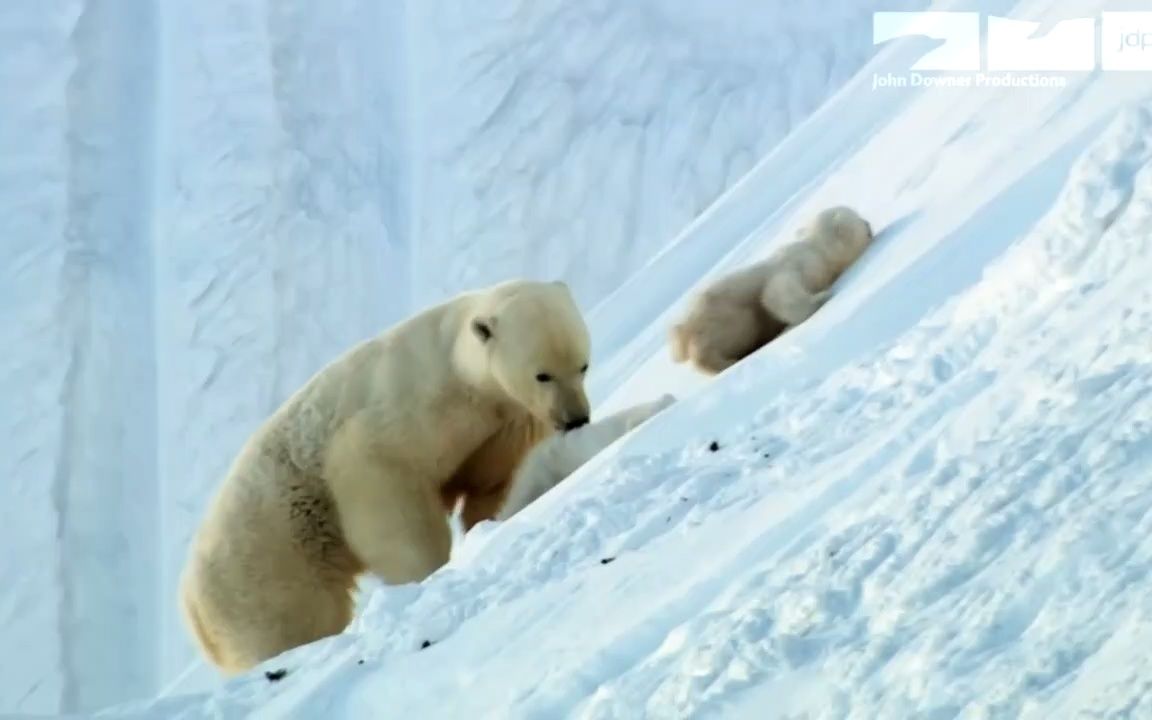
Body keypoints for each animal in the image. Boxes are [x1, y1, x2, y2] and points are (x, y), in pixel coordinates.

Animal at [182, 276, 594, 672]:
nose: (576, 418)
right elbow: (383, 479)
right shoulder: (415, 409)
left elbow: (492, 480)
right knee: (293, 620)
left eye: (582, 365)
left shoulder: (501, 423)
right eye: (542, 374)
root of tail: (191, 605)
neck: (455, 363)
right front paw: (428, 570)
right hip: (267, 558)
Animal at [672, 205, 866, 375]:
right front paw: (821, 297)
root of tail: (685, 327)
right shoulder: (799, 263)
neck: (816, 247)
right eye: (857, 216)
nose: (867, 223)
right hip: (723, 316)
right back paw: (726, 361)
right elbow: (775, 293)